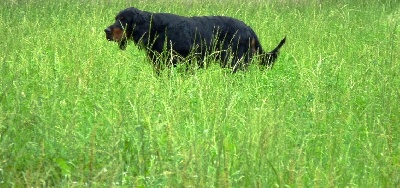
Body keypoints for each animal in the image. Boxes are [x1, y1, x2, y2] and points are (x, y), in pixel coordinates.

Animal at [104, 6, 286, 72]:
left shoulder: (172, 62)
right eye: (116, 18)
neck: (154, 28)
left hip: (234, 62)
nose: (106, 30)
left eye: (124, 20)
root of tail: (249, 29)